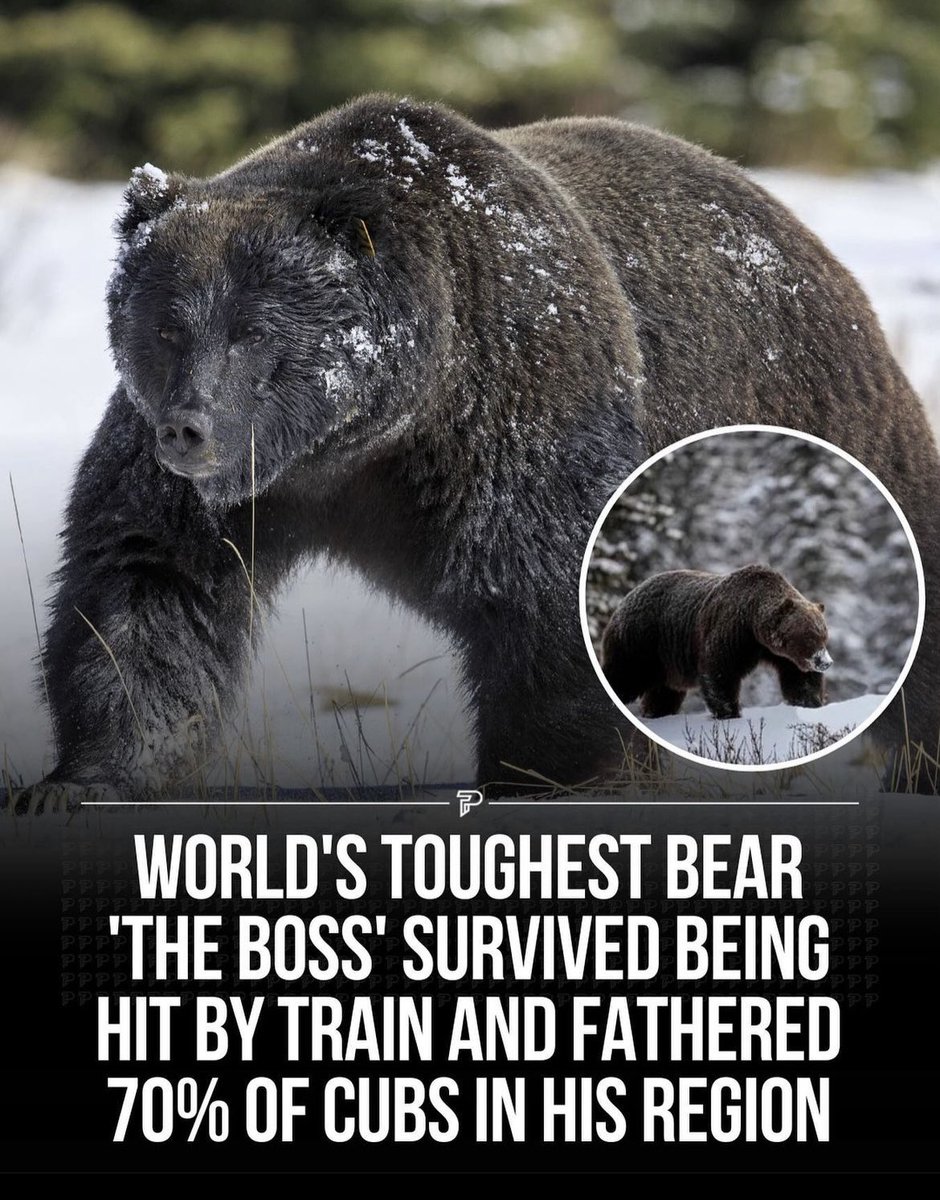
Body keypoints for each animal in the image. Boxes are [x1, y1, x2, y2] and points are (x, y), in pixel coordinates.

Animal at [600, 566, 832, 722]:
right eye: (810, 636)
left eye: (824, 635)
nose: (825, 662)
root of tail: (622, 602)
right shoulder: (732, 630)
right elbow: (720, 670)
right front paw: (730, 712)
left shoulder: (780, 654)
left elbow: (800, 678)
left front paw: (810, 702)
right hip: (642, 641)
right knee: (624, 674)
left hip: (666, 662)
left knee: (664, 692)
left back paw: (655, 712)